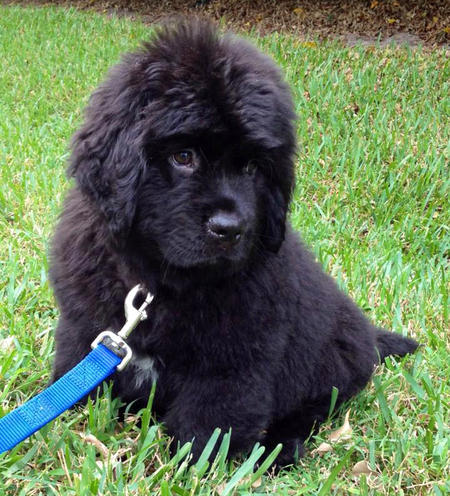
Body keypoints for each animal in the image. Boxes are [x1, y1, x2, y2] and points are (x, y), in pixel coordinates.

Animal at [50, 21, 418, 464]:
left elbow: (206, 428)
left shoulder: (233, 365)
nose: (229, 229)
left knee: (314, 408)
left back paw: (280, 447)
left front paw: (188, 466)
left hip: (330, 362)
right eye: (184, 156)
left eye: (252, 167)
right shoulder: (83, 328)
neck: (161, 283)